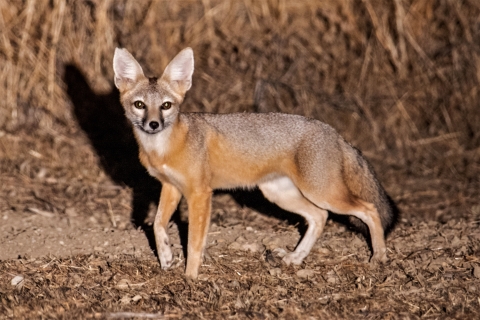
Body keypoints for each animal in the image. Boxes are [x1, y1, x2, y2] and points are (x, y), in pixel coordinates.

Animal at [112, 46, 394, 278]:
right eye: (140, 105)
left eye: (166, 106)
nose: (153, 124)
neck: (163, 149)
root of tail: (334, 132)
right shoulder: (171, 188)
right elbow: (157, 225)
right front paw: (166, 257)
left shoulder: (199, 193)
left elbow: (193, 242)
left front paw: (190, 277)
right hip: (280, 195)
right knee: (319, 216)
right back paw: (296, 258)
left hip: (323, 193)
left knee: (369, 209)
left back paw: (379, 257)